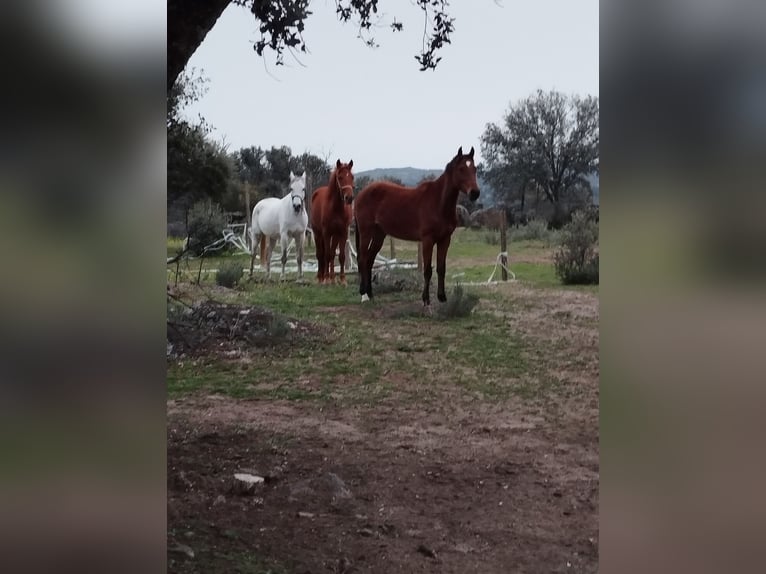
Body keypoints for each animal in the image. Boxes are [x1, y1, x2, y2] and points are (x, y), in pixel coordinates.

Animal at [354, 147, 480, 306]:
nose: (475, 193)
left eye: (475, 169)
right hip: (366, 232)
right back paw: (363, 293)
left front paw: (442, 297)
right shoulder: (427, 240)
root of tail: (360, 194)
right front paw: (426, 299)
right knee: (362, 259)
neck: (438, 202)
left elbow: (441, 268)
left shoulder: (445, 240)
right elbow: (427, 270)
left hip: (379, 235)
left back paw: (370, 294)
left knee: (369, 260)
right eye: (461, 169)